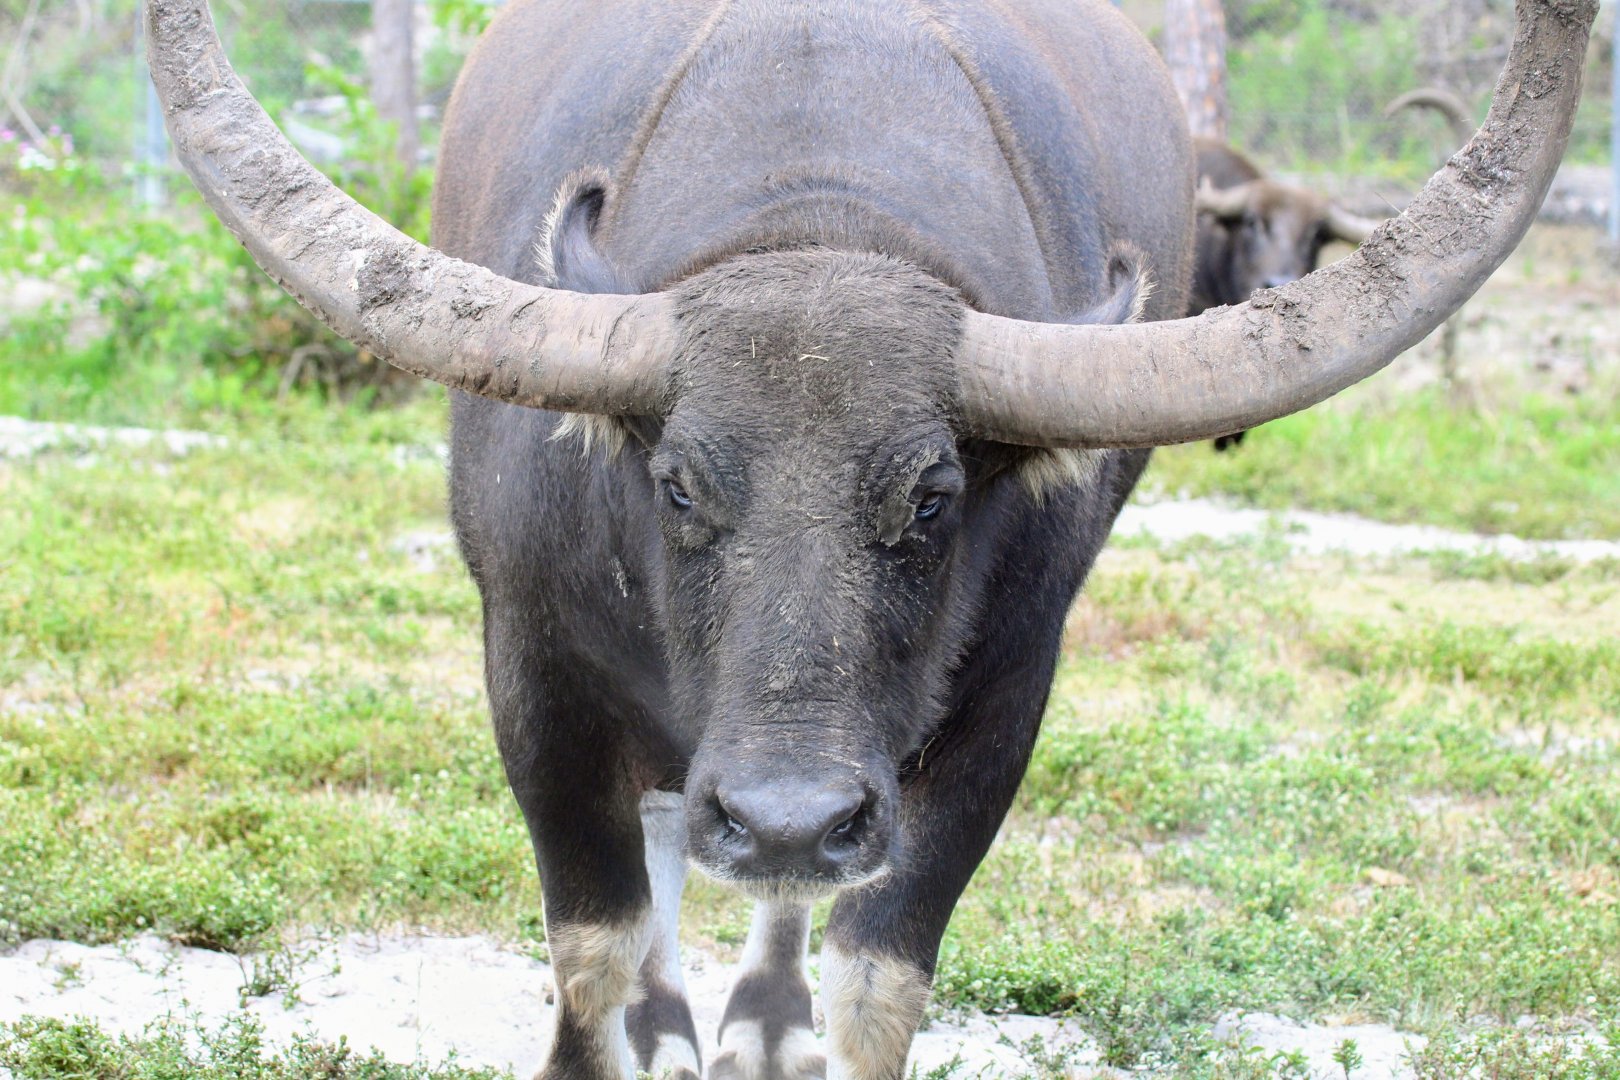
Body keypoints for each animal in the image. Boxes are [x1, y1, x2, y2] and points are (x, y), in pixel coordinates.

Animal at [146, 0, 1595, 1077]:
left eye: (933, 496)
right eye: (679, 484)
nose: (787, 814)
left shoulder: (995, 708)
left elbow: (879, 973)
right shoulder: (532, 667)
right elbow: (598, 946)